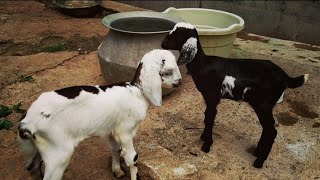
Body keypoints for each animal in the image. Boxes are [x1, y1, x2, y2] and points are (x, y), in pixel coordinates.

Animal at [18, 49, 182, 180]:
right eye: (168, 71)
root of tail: (27, 123)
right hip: (58, 154)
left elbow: (115, 149)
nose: (180, 82)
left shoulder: (111, 130)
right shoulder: (125, 132)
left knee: (33, 167)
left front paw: (117, 171)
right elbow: (132, 158)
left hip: (40, 148)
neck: (137, 92)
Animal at [161, 22, 308, 169]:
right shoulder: (208, 97)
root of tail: (285, 76)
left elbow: (210, 118)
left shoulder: (213, 96)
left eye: (177, 34)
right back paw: (256, 152)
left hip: (263, 104)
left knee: (271, 131)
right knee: (267, 129)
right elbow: (206, 116)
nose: (163, 44)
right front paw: (204, 138)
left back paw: (259, 162)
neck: (203, 63)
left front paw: (207, 145)